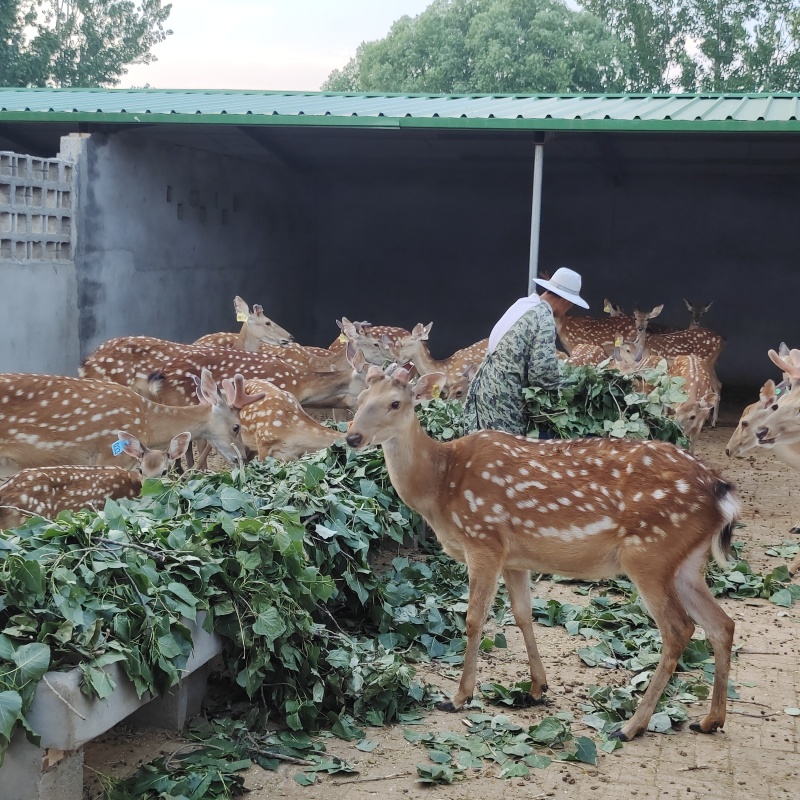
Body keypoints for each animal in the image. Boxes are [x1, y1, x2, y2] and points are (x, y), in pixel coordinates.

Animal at [345, 364, 738, 742]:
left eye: (396, 403)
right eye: (360, 398)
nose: (352, 437)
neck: (441, 486)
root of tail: (722, 492)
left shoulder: (483, 539)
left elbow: (474, 619)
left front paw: (459, 697)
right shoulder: (514, 557)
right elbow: (523, 614)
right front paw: (537, 688)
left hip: (649, 554)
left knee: (679, 629)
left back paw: (631, 726)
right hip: (686, 562)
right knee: (722, 624)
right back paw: (710, 720)